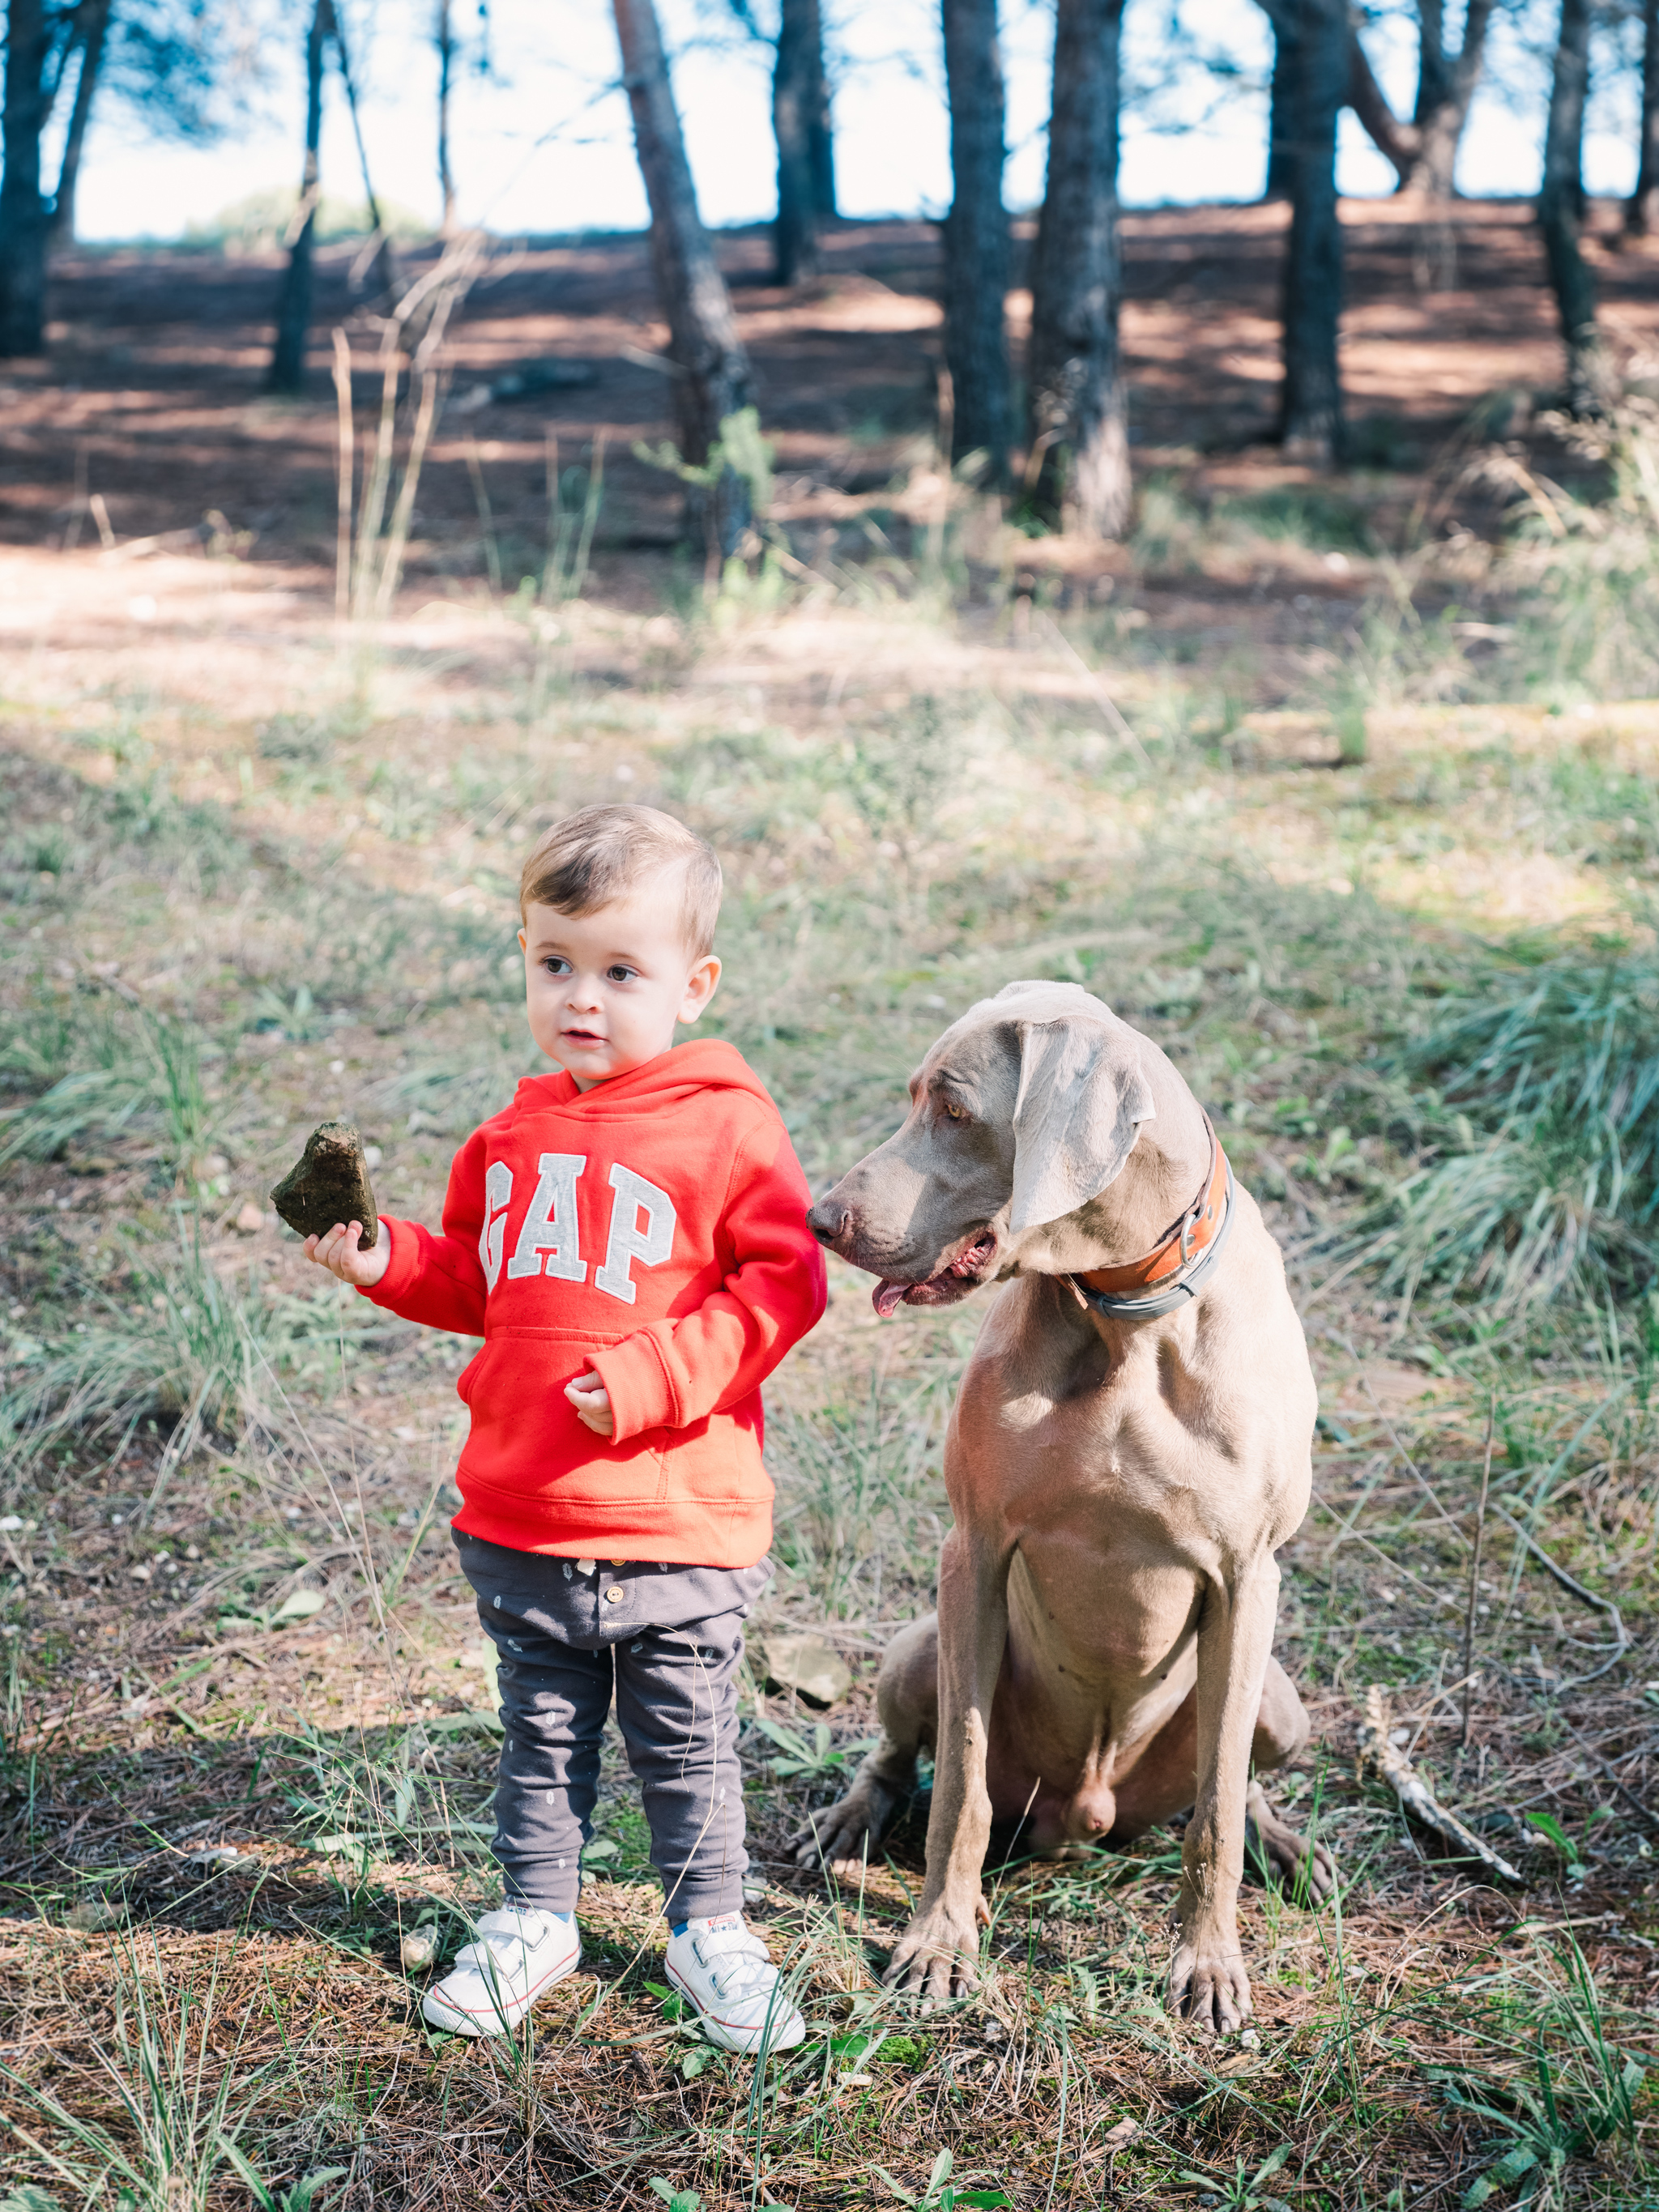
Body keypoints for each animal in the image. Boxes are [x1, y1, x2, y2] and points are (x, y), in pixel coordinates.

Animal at [796, 987, 1336, 2035]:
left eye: (954, 1111)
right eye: (914, 1098)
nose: (821, 1218)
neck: (1122, 1314)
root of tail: (1081, 1818)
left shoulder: (1247, 1575)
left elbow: (1216, 1808)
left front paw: (1208, 1965)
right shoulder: (971, 1551)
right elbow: (958, 1783)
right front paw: (938, 1942)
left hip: (1279, 1697)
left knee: (1235, 1779)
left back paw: (1284, 1843)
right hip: (916, 1644)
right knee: (899, 1757)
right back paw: (850, 1821)